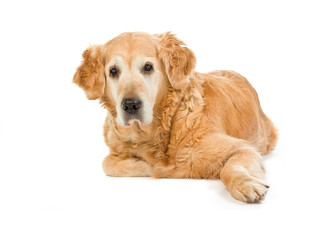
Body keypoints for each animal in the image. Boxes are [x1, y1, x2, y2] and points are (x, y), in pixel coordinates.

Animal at [73, 31, 278, 202]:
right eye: (113, 71)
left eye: (148, 67)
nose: (130, 104)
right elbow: (108, 163)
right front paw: (152, 167)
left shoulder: (242, 148)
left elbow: (230, 167)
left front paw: (245, 184)